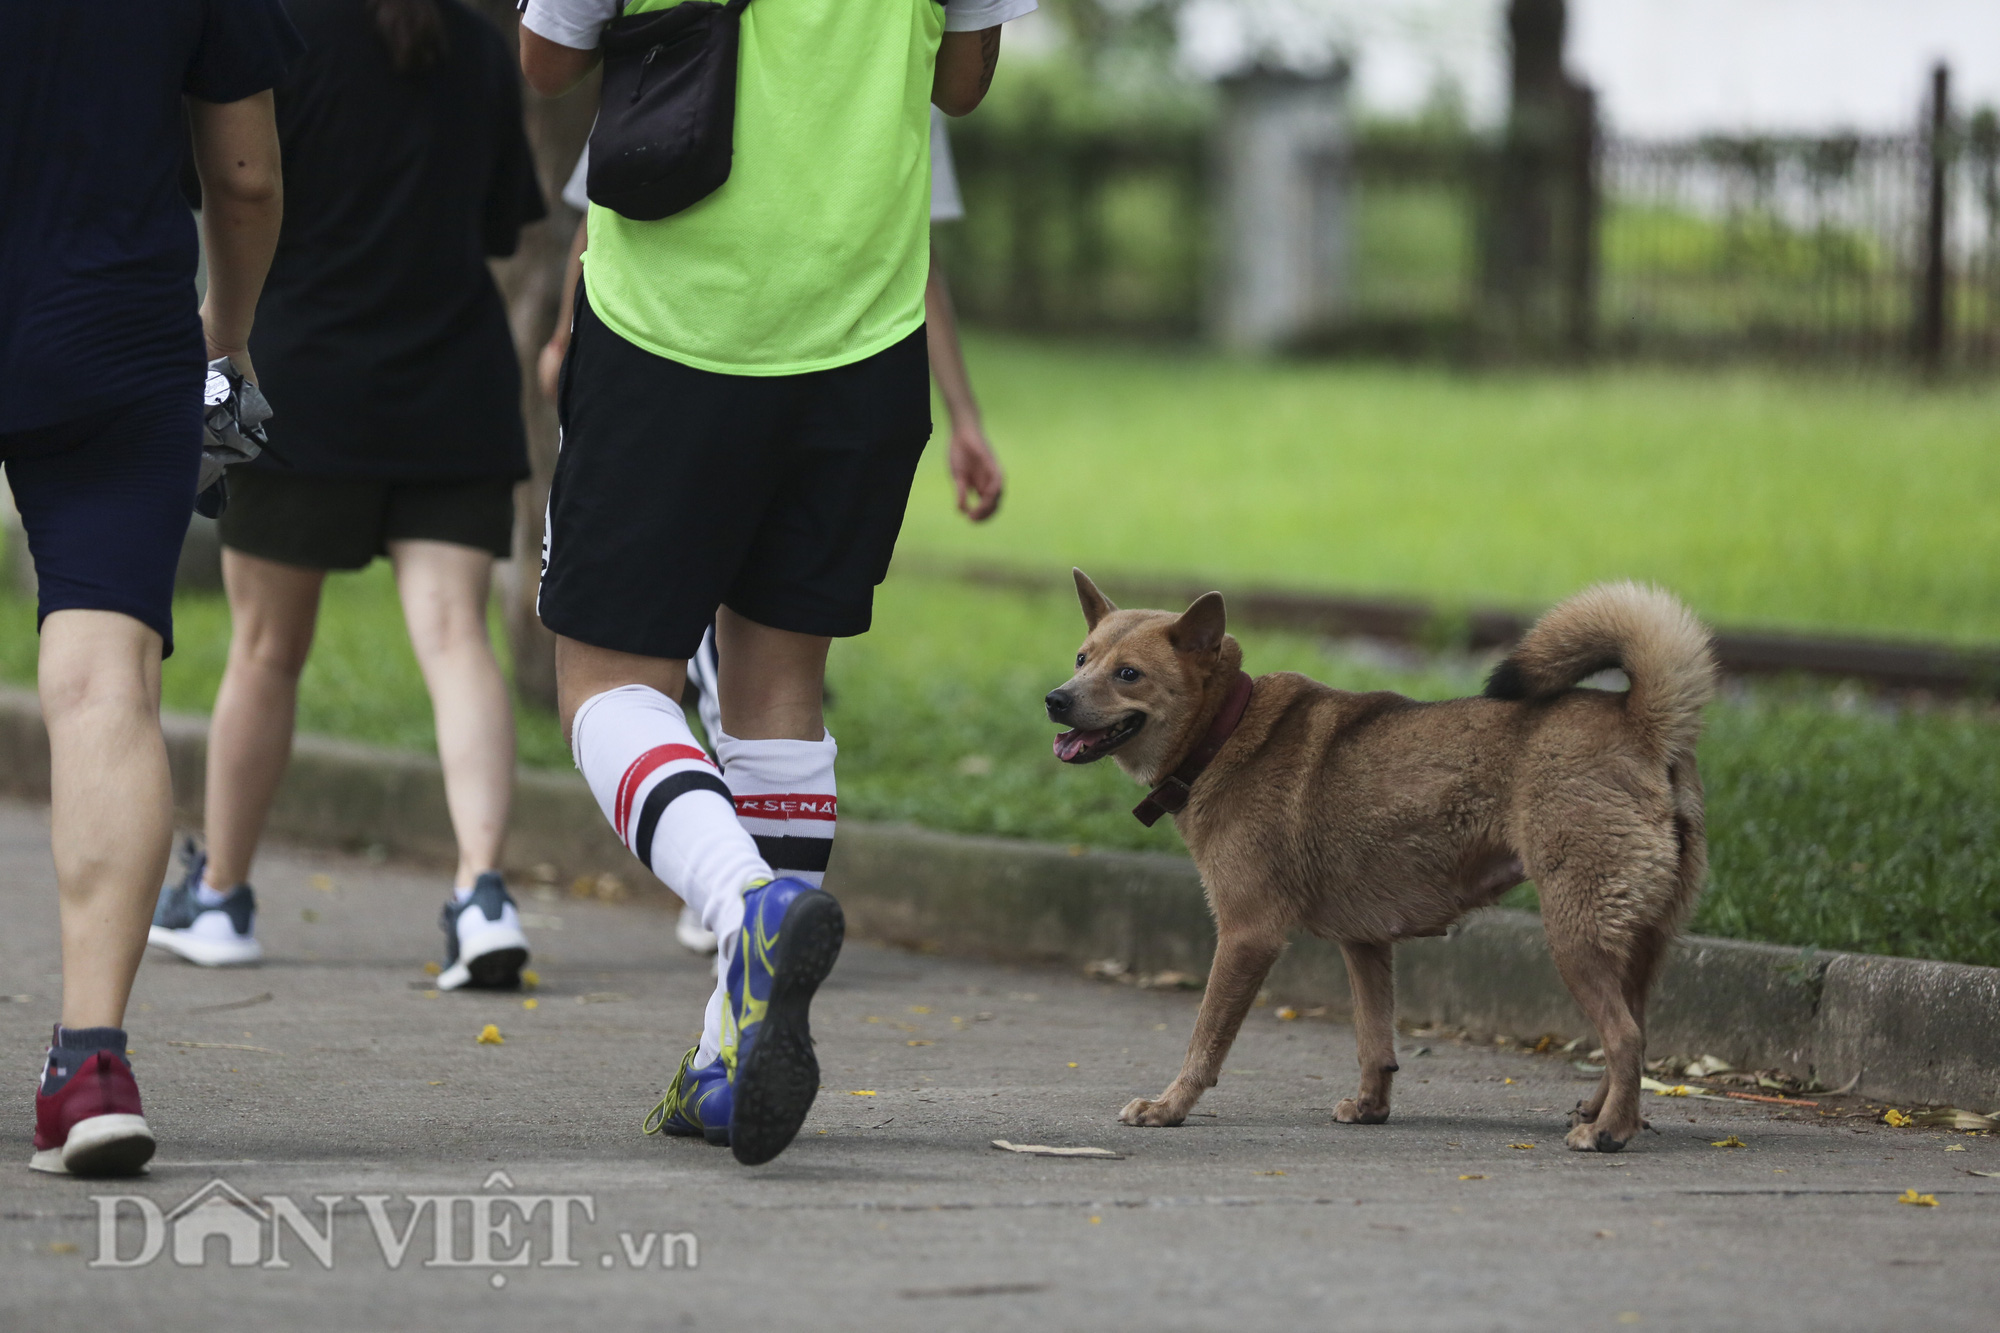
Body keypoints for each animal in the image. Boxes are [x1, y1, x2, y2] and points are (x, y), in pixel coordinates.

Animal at [1048, 564, 1720, 1144]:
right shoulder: (1365, 942)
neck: (1226, 733)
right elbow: (1375, 1041)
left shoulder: (1246, 935)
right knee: (1635, 1029)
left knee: (1625, 1036)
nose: (1055, 698)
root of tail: (1644, 724)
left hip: (1573, 931)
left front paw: (1169, 1107)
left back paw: (1609, 1132)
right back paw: (1609, 1112)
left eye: (1128, 674)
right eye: (1082, 659)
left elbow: (1206, 1039)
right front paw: (1372, 1107)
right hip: (1638, 937)